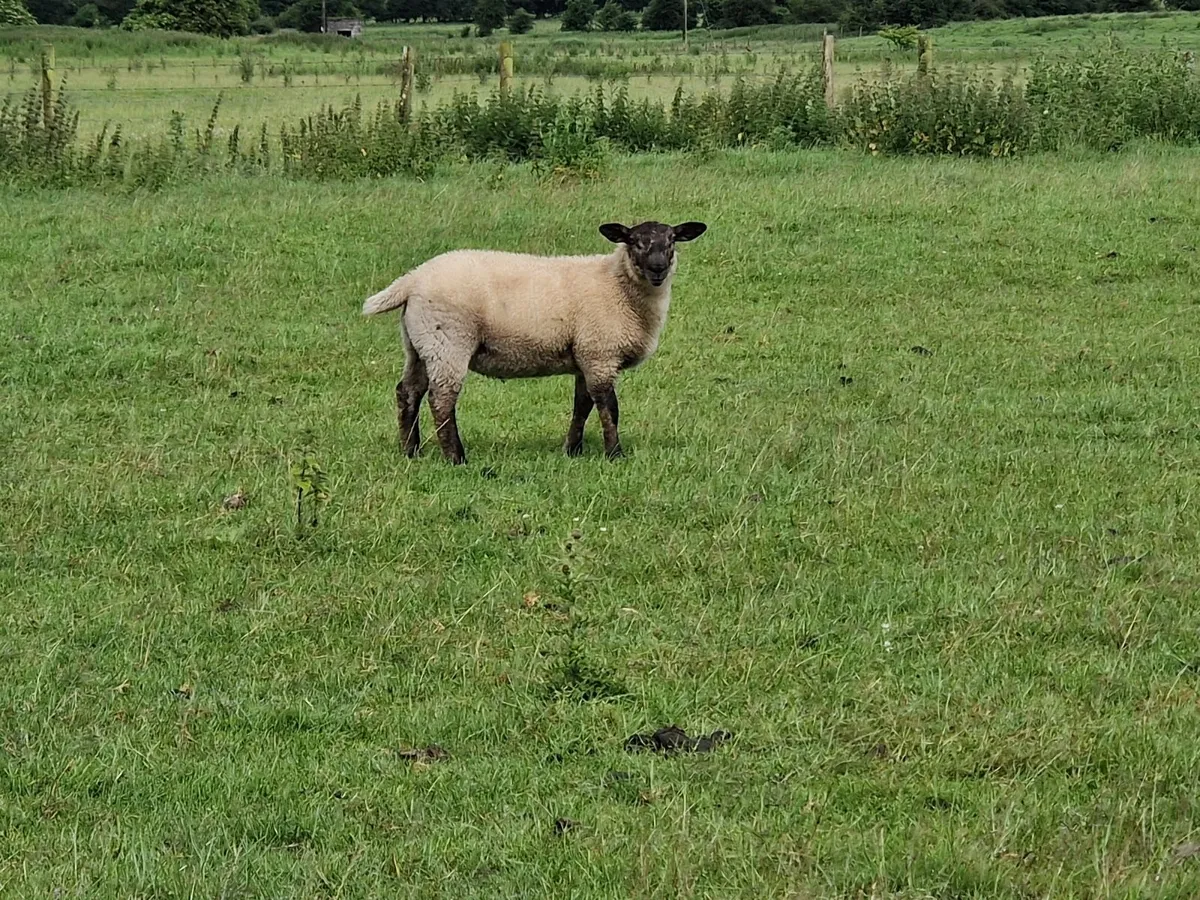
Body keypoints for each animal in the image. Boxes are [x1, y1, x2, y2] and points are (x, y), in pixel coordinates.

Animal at [361, 219, 707, 465]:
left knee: (408, 392)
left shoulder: (584, 355)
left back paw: (411, 451)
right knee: (441, 400)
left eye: (672, 241)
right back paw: (456, 458)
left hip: (419, 344)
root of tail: (412, 279)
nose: (658, 269)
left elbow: (581, 407)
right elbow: (609, 408)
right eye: (635, 242)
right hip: (448, 340)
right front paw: (615, 455)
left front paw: (572, 450)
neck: (617, 283)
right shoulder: (600, 353)